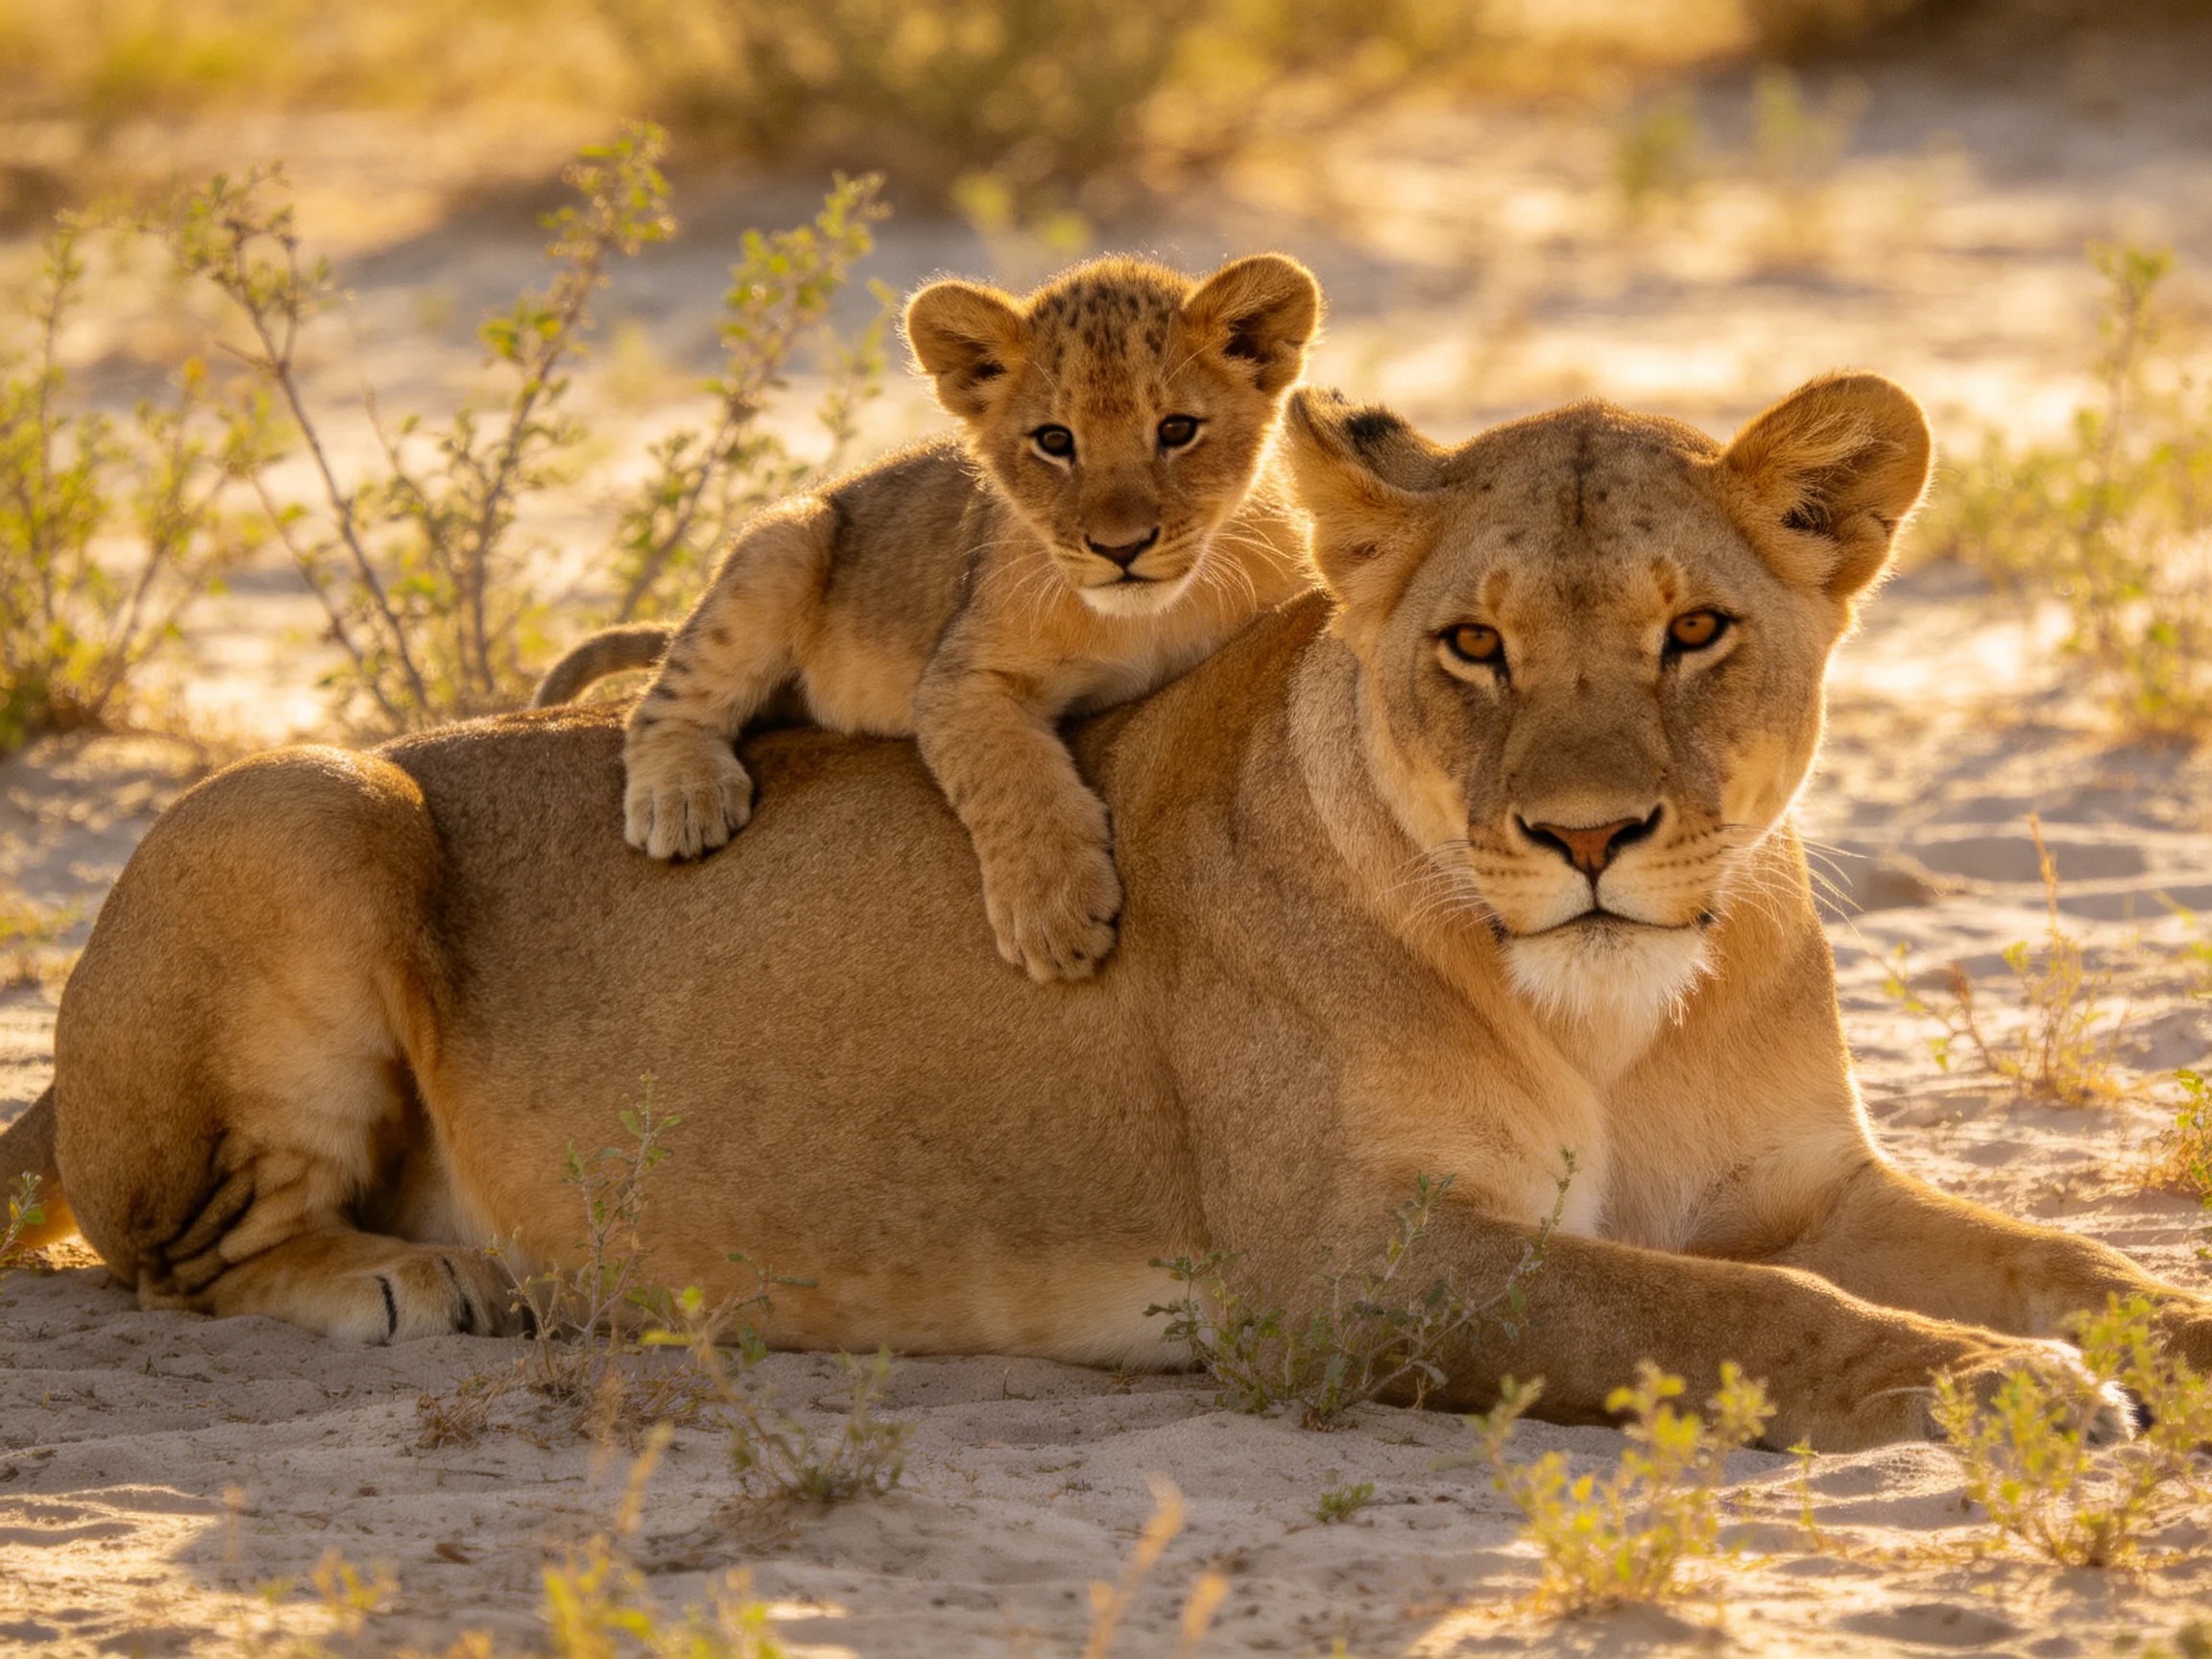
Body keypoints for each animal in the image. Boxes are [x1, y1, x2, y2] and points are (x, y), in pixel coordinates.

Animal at [7, 370, 2204, 1449]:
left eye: (1694, 632)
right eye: (1474, 644)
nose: (1589, 837)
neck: (1615, 1002)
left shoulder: (1802, 1182)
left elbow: (2061, 1260)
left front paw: (2132, 1337)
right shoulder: (1353, 1274)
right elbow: (1732, 1313)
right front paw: (2004, 1393)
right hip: (312, 803)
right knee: (176, 1251)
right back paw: (419, 1283)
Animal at [613, 253, 1321, 982]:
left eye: (1177, 430)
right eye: (1054, 441)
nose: (1120, 548)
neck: (1148, 618)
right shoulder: (961, 678)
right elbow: (1011, 777)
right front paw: (1054, 915)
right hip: (788, 539)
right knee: (662, 699)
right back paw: (682, 800)